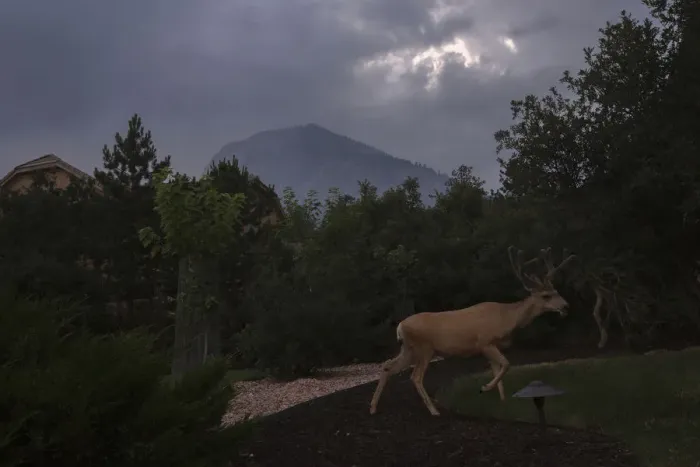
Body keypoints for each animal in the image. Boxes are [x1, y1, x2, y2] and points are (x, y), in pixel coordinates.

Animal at [369, 245, 576, 416]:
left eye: (557, 291)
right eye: (546, 295)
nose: (566, 307)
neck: (507, 318)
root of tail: (400, 326)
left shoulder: (491, 346)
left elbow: (499, 371)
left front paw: (502, 402)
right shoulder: (485, 342)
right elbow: (507, 364)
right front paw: (484, 388)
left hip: (409, 349)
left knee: (387, 366)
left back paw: (373, 407)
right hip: (424, 348)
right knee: (416, 376)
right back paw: (434, 410)